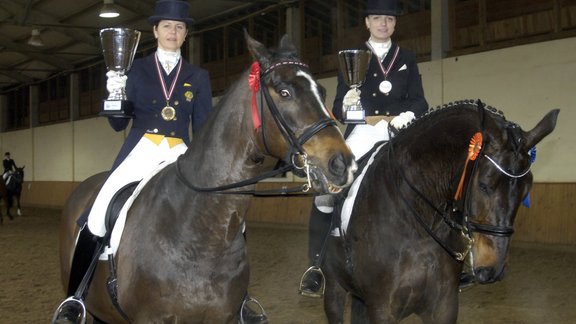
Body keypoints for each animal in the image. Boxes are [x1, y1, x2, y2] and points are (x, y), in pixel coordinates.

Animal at [322, 100, 556, 322]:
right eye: (484, 185)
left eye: (526, 191)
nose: (492, 271)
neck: (416, 225)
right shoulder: (382, 309)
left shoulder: (444, 307)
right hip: (334, 288)